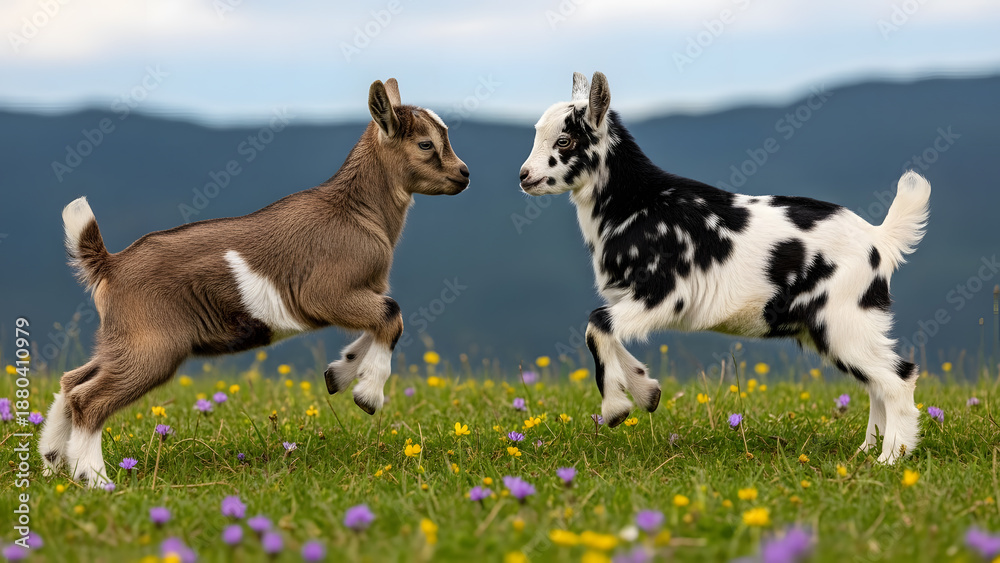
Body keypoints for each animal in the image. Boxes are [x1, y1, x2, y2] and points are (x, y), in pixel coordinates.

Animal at [40, 78, 470, 486]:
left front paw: (341, 373)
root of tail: (110, 264)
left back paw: (51, 465)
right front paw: (368, 394)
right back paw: (94, 478)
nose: (464, 174)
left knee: (71, 382)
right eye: (426, 143)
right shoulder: (324, 294)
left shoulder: (360, 294)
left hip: (120, 340)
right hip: (152, 346)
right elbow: (391, 316)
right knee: (89, 399)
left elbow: (380, 322)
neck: (357, 212)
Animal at [519, 72, 930, 464]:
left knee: (898, 377)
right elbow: (606, 330)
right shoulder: (632, 298)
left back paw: (890, 457)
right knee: (877, 382)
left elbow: (597, 324)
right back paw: (867, 452)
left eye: (564, 141)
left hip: (843, 321)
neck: (638, 204)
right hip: (837, 326)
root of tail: (880, 239)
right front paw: (646, 391)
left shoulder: (664, 295)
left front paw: (616, 408)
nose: (524, 176)